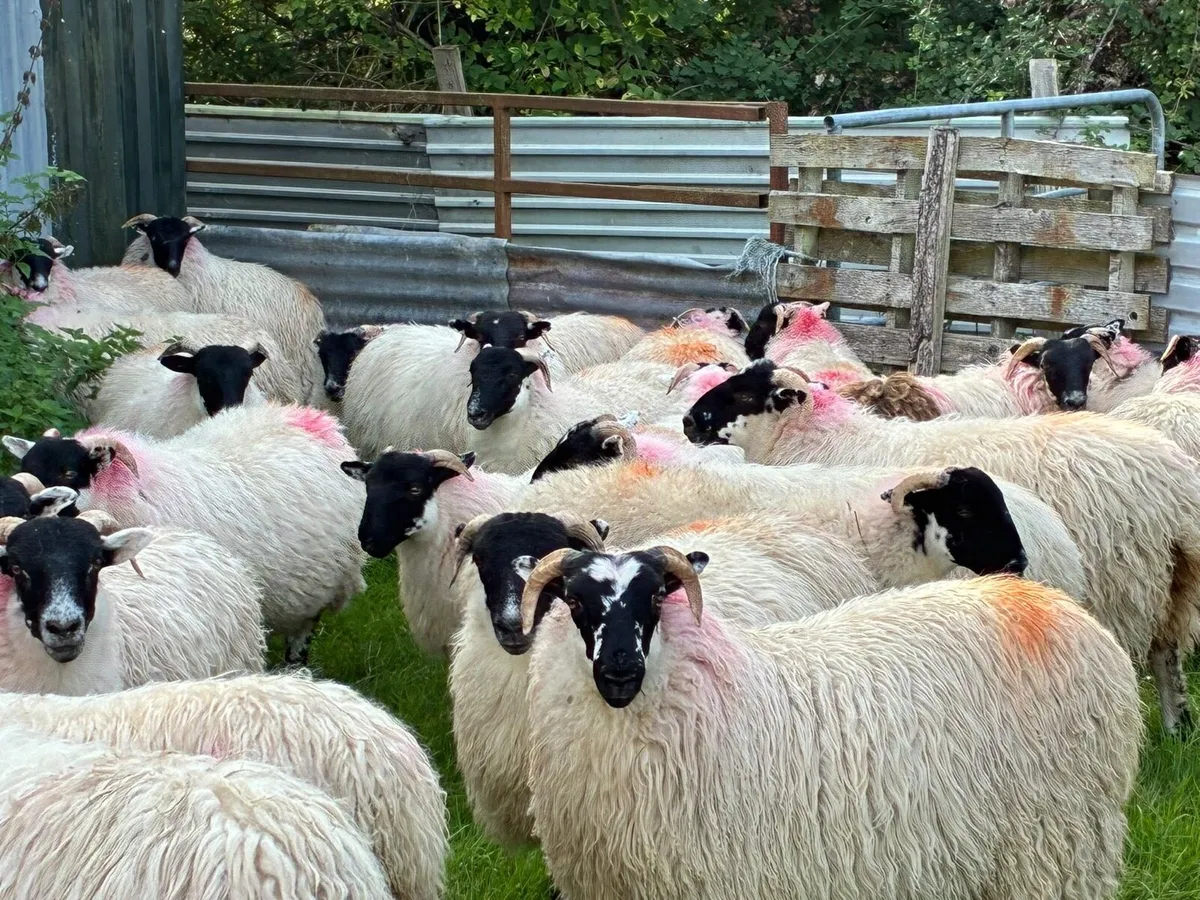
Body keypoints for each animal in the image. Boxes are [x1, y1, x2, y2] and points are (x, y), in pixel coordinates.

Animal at [684, 359, 1200, 733]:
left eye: (744, 394)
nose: (688, 421)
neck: (822, 439)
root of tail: (1176, 482)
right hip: (1174, 582)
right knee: (1169, 656)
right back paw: (1177, 730)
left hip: (1126, 587)